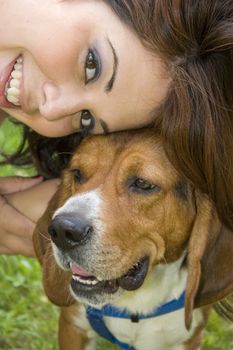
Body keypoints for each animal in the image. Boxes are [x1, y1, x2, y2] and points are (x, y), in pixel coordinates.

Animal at [33, 129, 233, 350]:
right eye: (77, 173)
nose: (62, 230)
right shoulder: (72, 327)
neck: (135, 304)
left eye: (143, 184)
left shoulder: (189, 339)